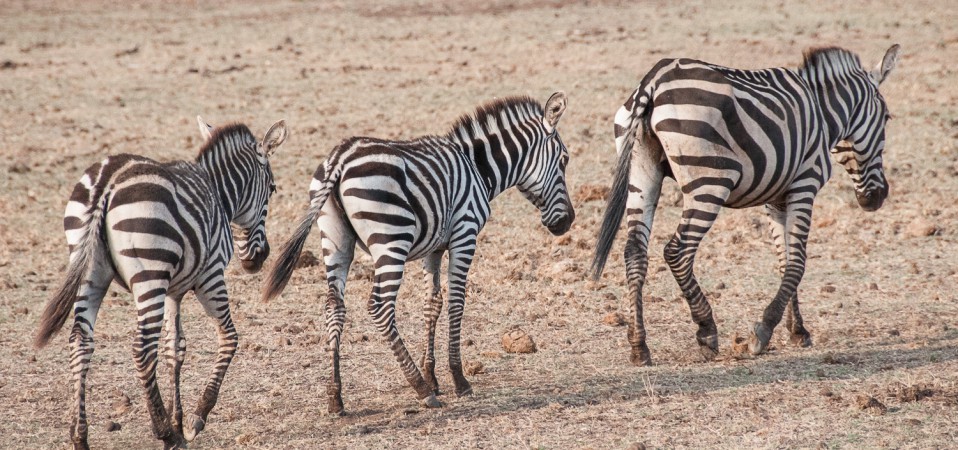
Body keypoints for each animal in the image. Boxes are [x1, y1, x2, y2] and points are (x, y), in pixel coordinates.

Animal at [34, 117, 288, 449]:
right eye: (272, 189)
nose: (259, 258)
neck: (219, 195)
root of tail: (108, 182)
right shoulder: (210, 276)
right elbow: (229, 337)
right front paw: (193, 420)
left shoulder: (174, 291)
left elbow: (174, 348)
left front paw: (177, 418)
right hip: (149, 274)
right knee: (142, 348)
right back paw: (165, 433)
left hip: (89, 269)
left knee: (81, 341)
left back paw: (80, 437)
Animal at [263, 93, 574, 413]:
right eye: (565, 160)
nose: (568, 222)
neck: (478, 168)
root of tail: (340, 157)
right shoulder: (465, 234)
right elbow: (457, 302)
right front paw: (457, 379)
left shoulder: (434, 248)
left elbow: (432, 303)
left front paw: (433, 374)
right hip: (391, 237)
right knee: (380, 307)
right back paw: (420, 389)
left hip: (335, 240)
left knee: (334, 306)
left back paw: (336, 397)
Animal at [591, 45, 900, 366]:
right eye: (887, 118)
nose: (877, 198)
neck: (823, 114)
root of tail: (652, 81)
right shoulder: (805, 183)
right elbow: (798, 261)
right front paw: (764, 330)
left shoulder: (777, 198)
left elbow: (784, 260)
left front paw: (796, 330)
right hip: (710, 182)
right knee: (677, 251)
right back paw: (707, 330)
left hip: (641, 173)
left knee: (634, 253)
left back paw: (639, 345)